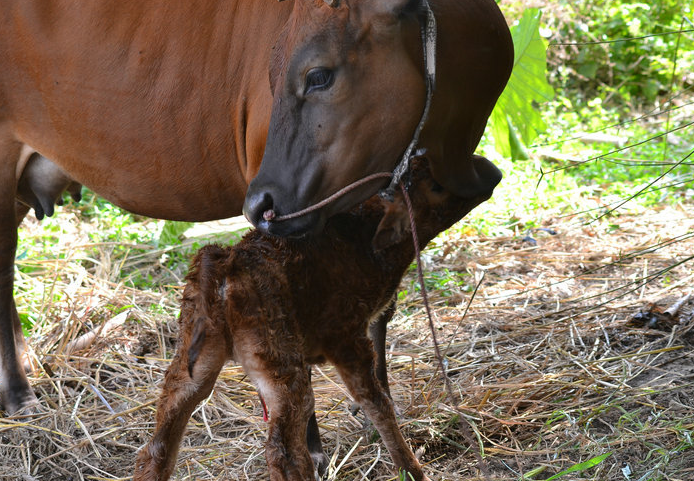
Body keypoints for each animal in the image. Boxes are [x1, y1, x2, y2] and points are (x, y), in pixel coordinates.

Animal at [135, 158, 494, 480]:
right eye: (436, 186)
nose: (492, 172)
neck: (366, 239)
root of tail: (224, 264)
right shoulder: (347, 337)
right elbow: (375, 401)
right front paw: (410, 469)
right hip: (278, 360)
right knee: (283, 451)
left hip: (195, 357)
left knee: (158, 442)